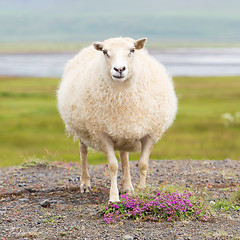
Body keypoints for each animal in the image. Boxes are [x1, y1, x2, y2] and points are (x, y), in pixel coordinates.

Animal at [57, 37, 177, 202]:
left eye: (132, 50)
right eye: (105, 52)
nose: (119, 69)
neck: (123, 96)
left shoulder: (151, 134)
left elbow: (143, 164)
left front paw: (142, 191)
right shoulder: (102, 134)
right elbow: (113, 165)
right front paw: (114, 197)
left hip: (122, 130)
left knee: (124, 156)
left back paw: (127, 186)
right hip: (82, 129)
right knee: (83, 152)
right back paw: (85, 183)